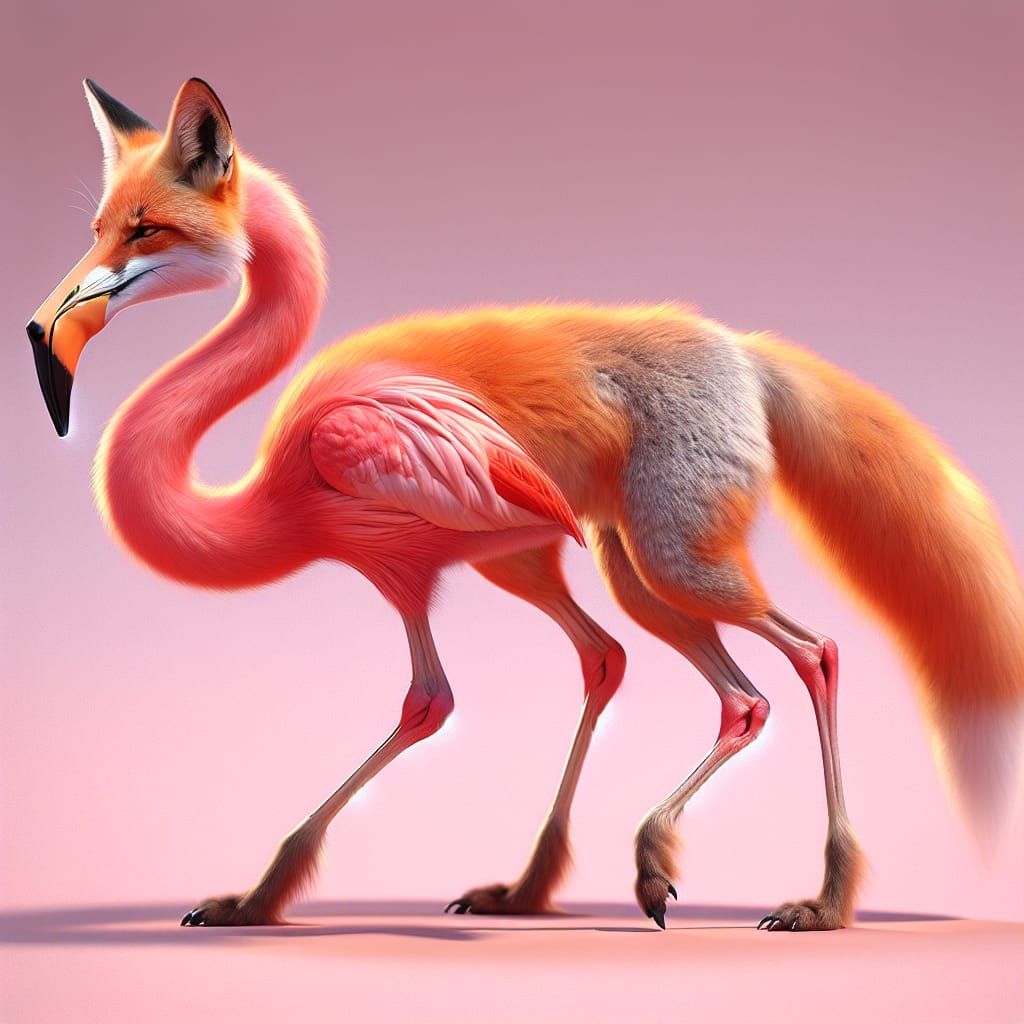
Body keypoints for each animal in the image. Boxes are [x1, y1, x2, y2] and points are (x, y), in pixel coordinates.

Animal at [25, 77, 1024, 932]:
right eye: (101, 223)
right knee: (669, 672)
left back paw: (817, 901)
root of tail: (741, 352)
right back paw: (559, 883)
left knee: (812, 653)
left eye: (148, 229)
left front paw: (250, 900)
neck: (285, 473)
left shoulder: (400, 559)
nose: (46, 332)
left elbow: (426, 703)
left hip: (675, 540)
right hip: (599, 558)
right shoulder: (472, 554)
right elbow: (569, 668)